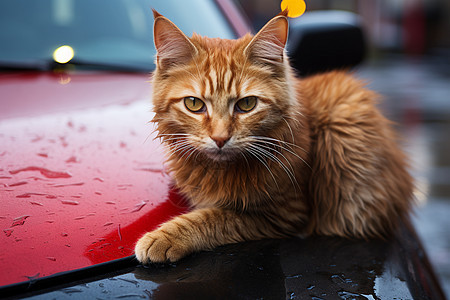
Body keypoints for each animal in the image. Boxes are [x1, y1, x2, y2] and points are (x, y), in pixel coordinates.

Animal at [134, 9, 414, 262]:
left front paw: (166, 237)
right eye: (194, 104)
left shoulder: (285, 214)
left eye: (247, 104)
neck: (219, 172)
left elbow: (213, 217)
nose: (220, 138)